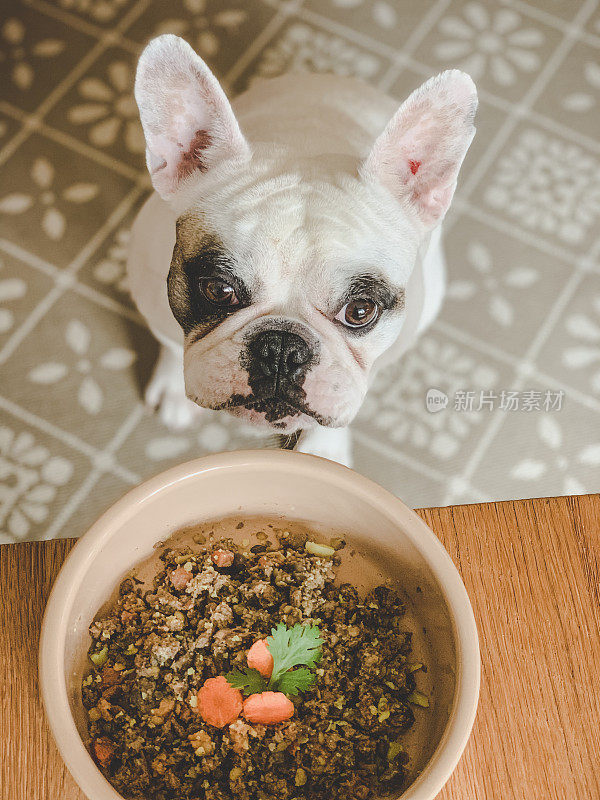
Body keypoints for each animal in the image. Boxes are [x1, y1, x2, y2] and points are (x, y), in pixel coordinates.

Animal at [127, 34, 478, 466]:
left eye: (360, 311)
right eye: (218, 290)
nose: (281, 349)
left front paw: (324, 449)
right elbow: (169, 339)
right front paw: (173, 390)